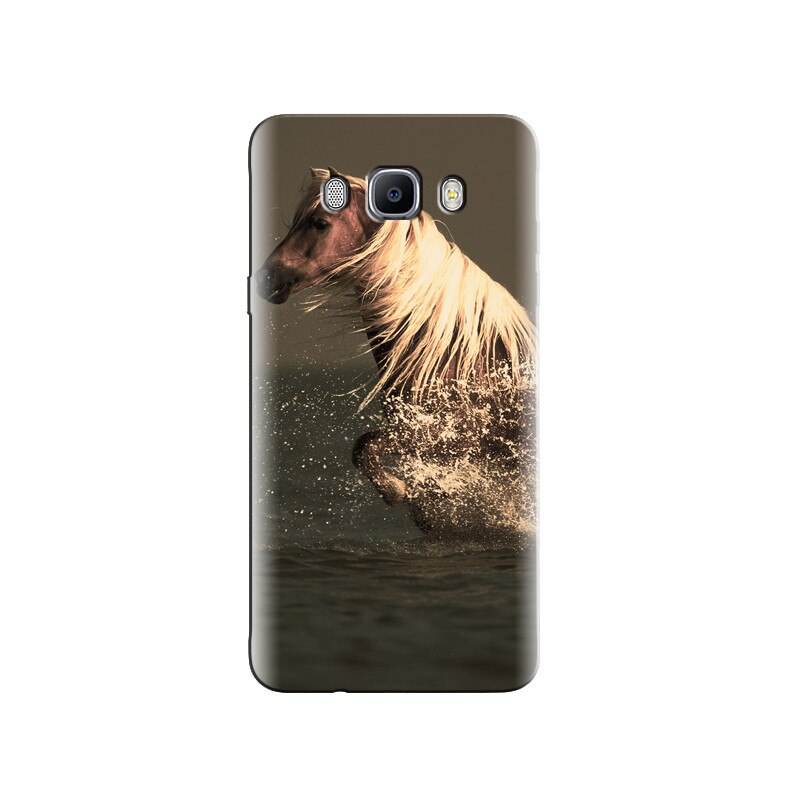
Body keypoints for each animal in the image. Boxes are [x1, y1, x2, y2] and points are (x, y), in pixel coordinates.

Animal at [256, 168, 537, 537]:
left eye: (319, 223)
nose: (265, 277)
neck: (464, 357)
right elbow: (365, 450)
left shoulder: (449, 437)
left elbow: (365, 447)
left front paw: (400, 493)